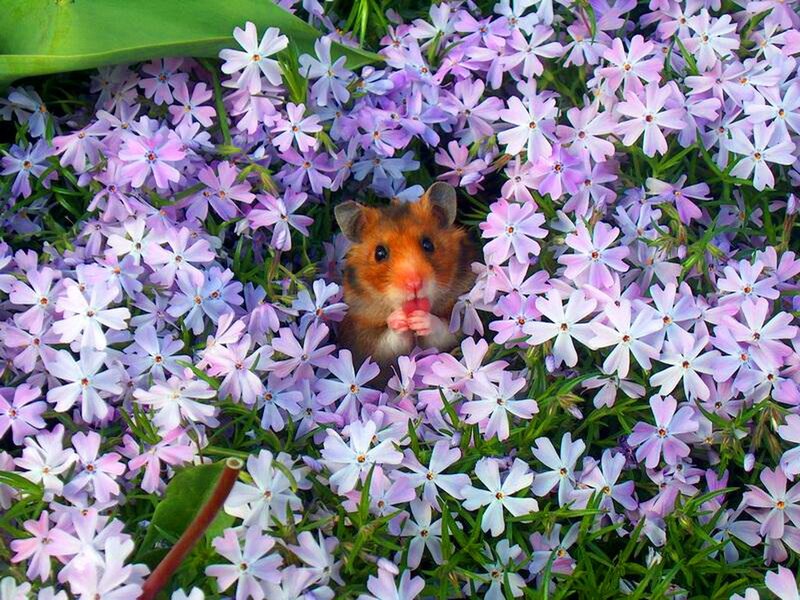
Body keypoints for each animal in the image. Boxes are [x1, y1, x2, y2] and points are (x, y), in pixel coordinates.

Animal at [334, 182, 478, 382]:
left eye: (428, 244)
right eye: (379, 253)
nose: (414, 284)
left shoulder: (459, 329)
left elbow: (445, 331)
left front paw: (420, 319)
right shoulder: (362, 342)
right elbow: (386, 342)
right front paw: (400, 318)